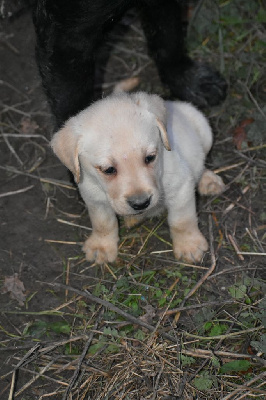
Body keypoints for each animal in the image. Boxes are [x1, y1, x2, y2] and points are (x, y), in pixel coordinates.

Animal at [51, 92, 223, 264]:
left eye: (150, 157)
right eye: (108, 170)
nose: (141, 204)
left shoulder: (181, 187)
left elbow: (182, 221)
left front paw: (189, 246)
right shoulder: (93, 197)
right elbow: (103, 223)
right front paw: (101, 246)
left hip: (204, 131)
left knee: (202, 162)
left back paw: (208, 181)